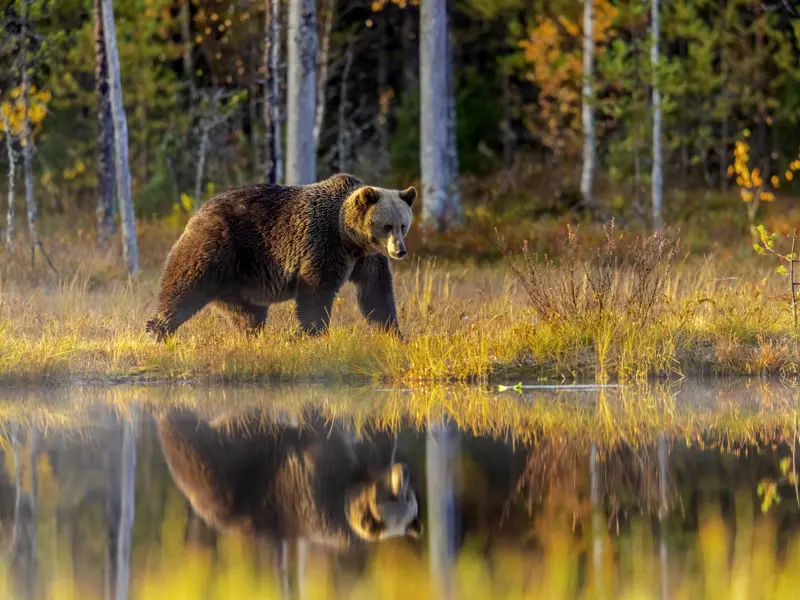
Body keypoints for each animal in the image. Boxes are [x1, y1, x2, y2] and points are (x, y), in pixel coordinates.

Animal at [146, 175, 416, 342]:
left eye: (403, 225)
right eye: (387, 225)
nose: (400, 251)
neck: (349, 238)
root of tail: (197, 212)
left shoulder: (367, 258)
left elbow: (376, 292)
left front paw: (393, 333)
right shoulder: (322, 243)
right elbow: (316, 291)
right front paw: (311, 333)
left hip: (241, 279)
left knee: (248, 314)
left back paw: (252, 335)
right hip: (218, 247)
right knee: (183, 286)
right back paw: (157, 330)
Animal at [155, 408, 418, 548]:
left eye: (408, 497)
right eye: (395, 496)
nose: (404, 472)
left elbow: (376, 438)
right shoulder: (323, 484)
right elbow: (322, 430)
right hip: (226, 471)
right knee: (191, 438)